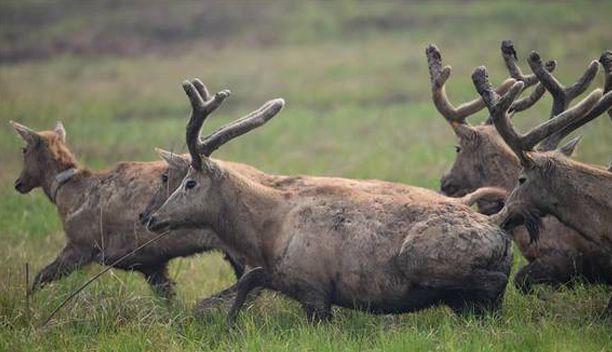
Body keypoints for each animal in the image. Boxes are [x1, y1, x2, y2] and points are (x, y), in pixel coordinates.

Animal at [8, 103, 251, 298]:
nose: (18, 183)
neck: (67, 194)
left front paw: (28, 306)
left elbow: (40, 277)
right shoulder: (152, 263)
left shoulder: (81, 244)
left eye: (23, 149)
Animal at [146, 77, 512, 324]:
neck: (265, 234)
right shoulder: (279, 275)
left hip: (421, 258)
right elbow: (248, 281)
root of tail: (499, 228)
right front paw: (229, 324)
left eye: (190, 183)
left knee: (494, 282)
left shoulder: (314, 290)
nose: (152, 218)